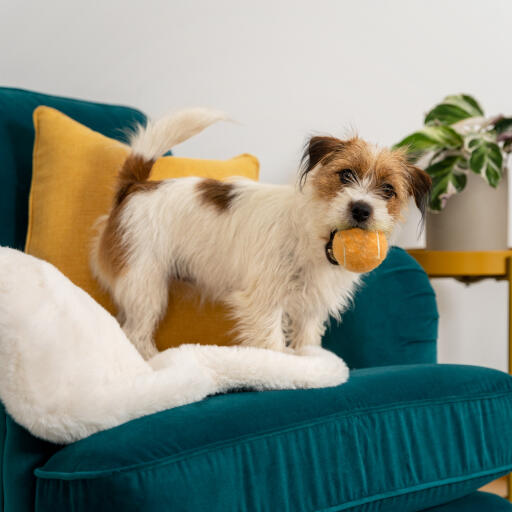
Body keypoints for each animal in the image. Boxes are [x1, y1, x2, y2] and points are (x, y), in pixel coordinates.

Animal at [91, 109, 428, 358]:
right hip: (145, 284)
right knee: (135, 333)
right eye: (345, 175)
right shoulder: (264, 302)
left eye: (388, 190)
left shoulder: (310, 309)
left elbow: (307, 343)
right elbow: (272, 343)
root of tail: (134, 188)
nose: (361, 209)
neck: (312, 238)